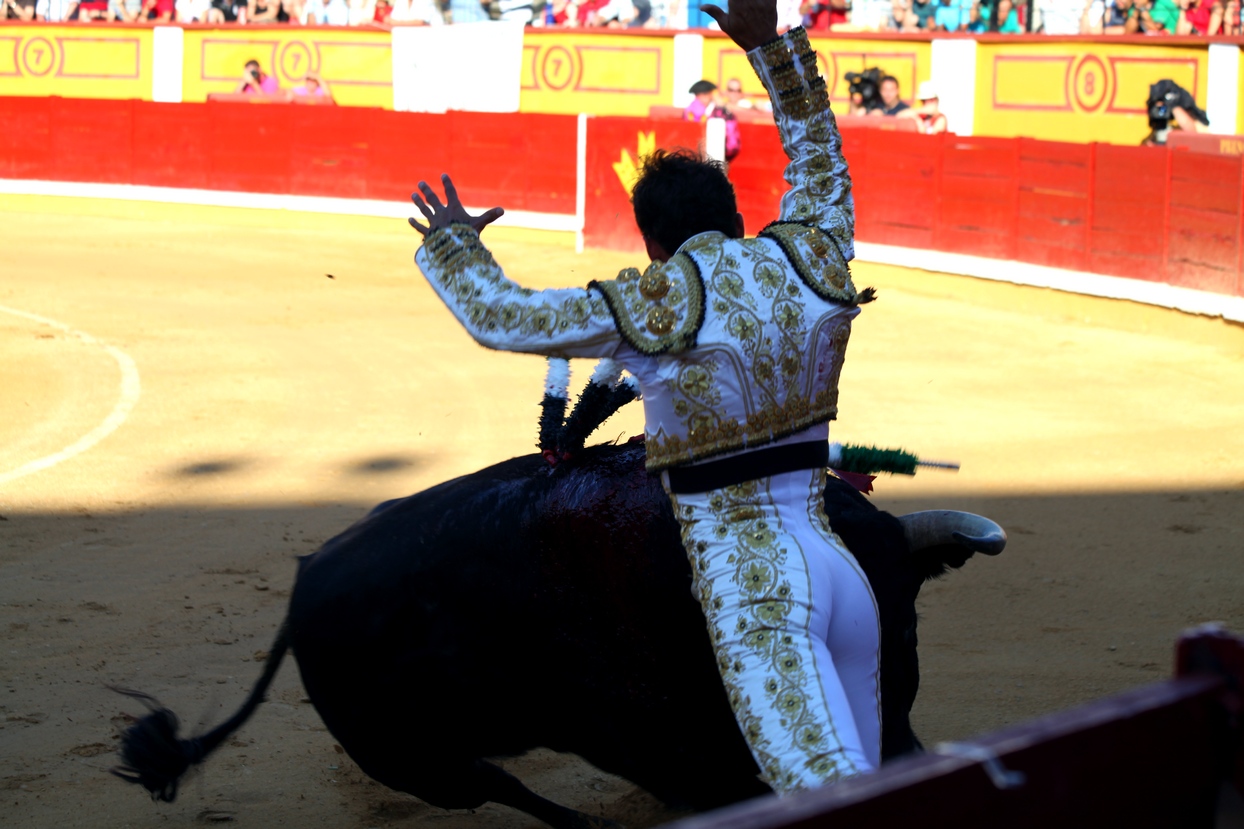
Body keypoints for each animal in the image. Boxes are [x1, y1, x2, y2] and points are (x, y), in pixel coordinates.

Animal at [111, 435, 995, 821]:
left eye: (906, 630)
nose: (901, 764)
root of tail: (302, 583)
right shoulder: (661, 749)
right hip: (414, 760)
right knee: (491, 785)